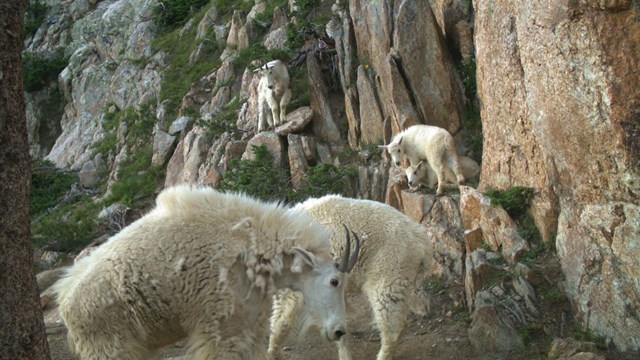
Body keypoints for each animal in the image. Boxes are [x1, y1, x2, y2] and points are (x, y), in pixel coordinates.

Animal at [53, 186, 360, 360]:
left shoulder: (249, 326)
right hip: (110, 346)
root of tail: (65, 302)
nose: (339, 331)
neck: (253, 249)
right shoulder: (218, 329)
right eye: (334, 281)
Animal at [264, 195, 436, 358]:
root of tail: (422, 243)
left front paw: (272, 352)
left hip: (389, 272)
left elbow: (281, 318)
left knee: (390, 324)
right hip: (404, 276)